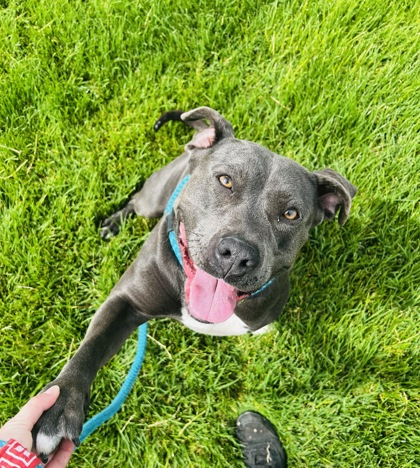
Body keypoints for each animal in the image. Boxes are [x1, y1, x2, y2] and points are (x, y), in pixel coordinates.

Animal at [32, 106, 358, 460]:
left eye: (291, 214)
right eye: (225, 180)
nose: (237, 254)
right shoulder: (125, 302)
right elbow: (91, 348)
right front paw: (59, 407)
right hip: (153, 197)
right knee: (135, 202)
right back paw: (114, 223)